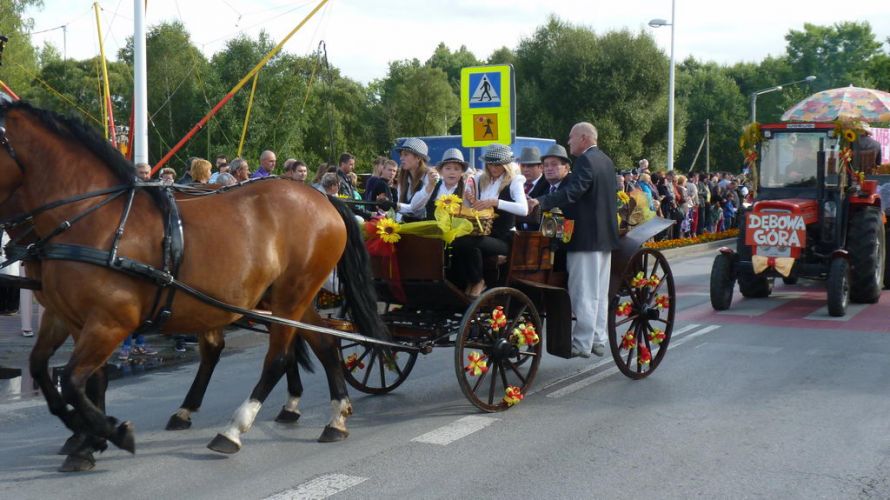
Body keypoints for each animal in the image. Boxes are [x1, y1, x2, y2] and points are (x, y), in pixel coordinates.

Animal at [0, 102, 388, 472]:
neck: (95, 218)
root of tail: (323, 199)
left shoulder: (110, 322)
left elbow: (73, 381)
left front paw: (108, 432)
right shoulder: (67, 317)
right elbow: (50, 371)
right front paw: (86, 437)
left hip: (290, 296)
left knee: (277, 357)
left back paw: (234, 429)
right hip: (288, 298)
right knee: (322, 343)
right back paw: (334, 416)